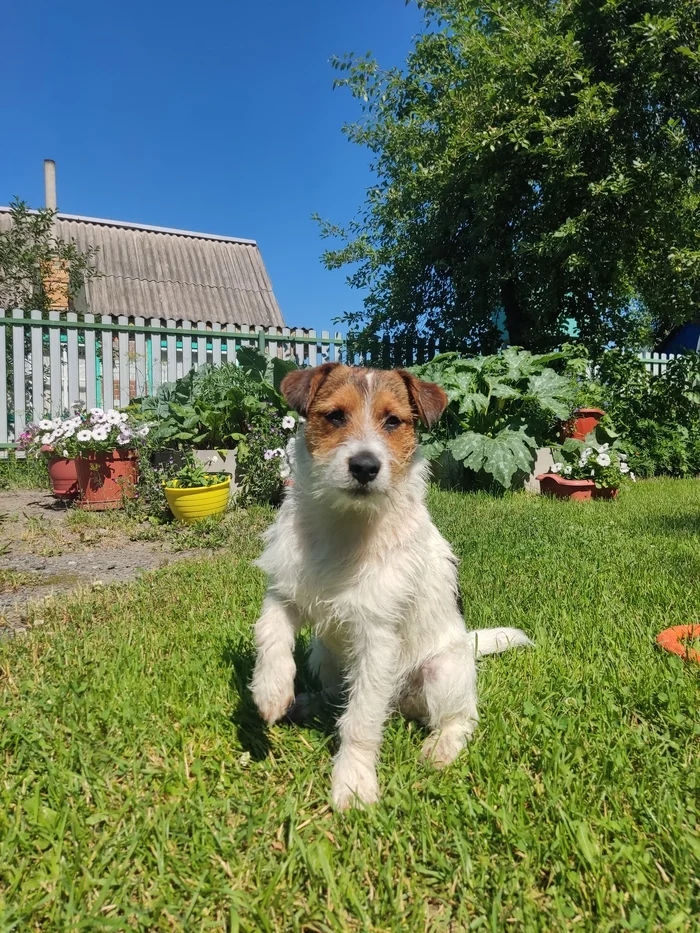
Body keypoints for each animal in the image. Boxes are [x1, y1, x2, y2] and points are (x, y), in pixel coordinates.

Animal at [252, 362, 532, 808]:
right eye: (336, 416)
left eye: (393, 422)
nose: (365, 466)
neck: (347, 524)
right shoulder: (284, 590)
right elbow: (271, 632)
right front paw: (271, 689)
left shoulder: (376, 637)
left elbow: (361, 719)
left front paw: (353, 780)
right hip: (323, 654)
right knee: (335, 694)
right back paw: (304, 702)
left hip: (441, 672)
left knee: (462, 717)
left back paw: (442, 746)